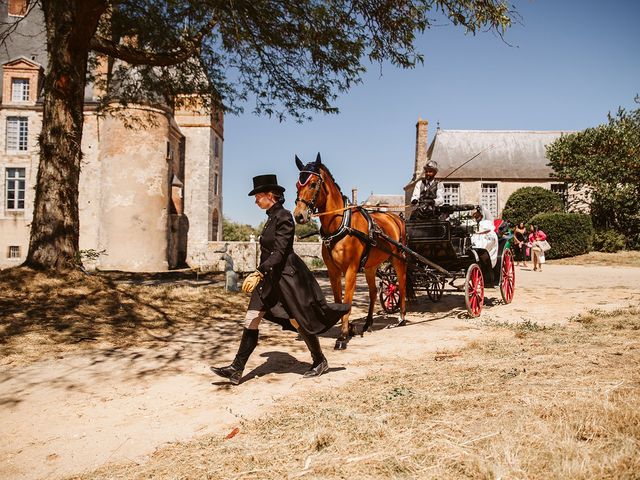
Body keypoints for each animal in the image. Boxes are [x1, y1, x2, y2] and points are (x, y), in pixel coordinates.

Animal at [294, 154, 408, 348]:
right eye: (297, 184)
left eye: (313, 184)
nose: (298, 215)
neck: (341, 225)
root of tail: (395, 217)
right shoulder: (333, 272)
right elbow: (339, 301)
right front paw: (347, 329)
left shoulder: (351, 270)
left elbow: (347, 302)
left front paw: (342, 336)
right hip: (370, 267)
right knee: (373, 292)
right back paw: (368, 324)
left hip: (398, 259)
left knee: (402, 283)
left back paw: (401, 317)